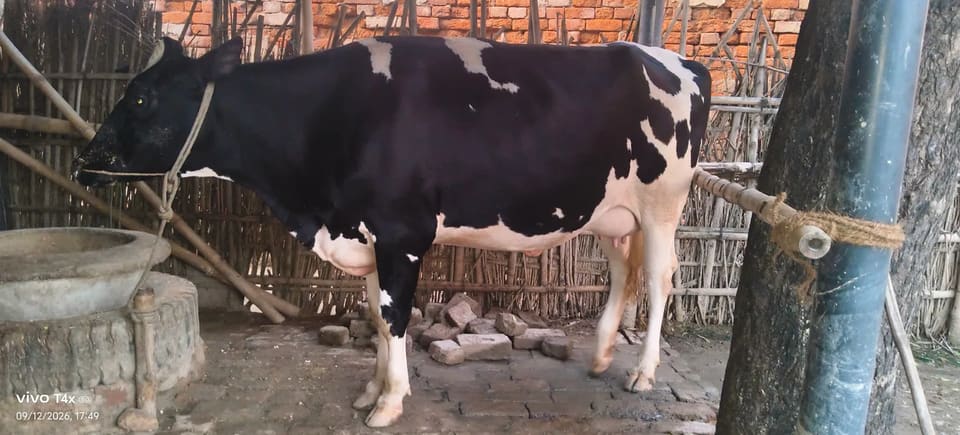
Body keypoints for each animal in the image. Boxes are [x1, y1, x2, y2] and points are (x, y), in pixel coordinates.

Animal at [73, 35, 710, 427]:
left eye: (141, 96)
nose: (84, 161)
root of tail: (676, 61)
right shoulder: (365, 235)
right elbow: (377, 318)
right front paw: (371, 389)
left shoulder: (402, 233)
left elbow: (396, 315)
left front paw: (390, 403)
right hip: (611, 213)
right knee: (622, 274)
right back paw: (601, 356)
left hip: (663, 204)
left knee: (658, 281)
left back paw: (643, 373)